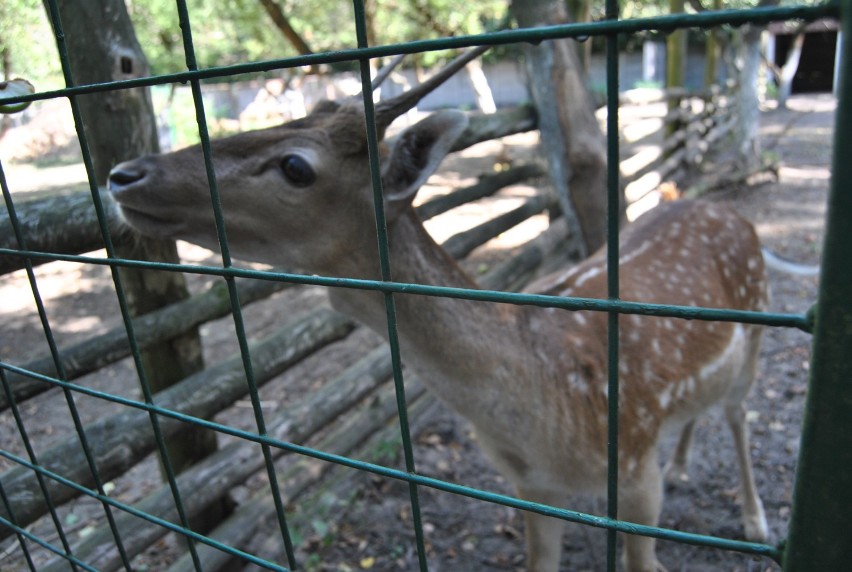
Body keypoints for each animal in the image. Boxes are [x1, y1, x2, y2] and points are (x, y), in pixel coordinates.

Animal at [108, 50, 772, 572]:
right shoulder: (532, 487)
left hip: (757, 326)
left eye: (296, 165)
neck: (552, 416)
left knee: (740, 413)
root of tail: (724, 209)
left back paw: (755, 520)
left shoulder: (634, 469)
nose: (123, 172)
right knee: (700, 410)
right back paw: (682, 465)